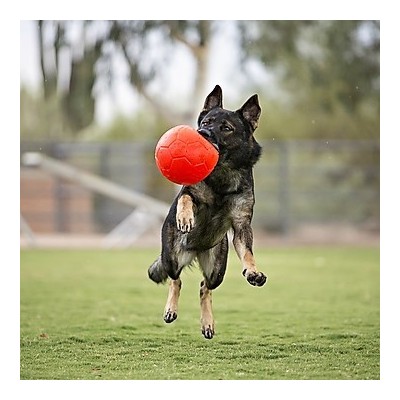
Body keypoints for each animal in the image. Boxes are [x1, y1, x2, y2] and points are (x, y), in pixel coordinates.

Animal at [148, 83, 268, 338]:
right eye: (206, 122)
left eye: (226, 128)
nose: (202, 133)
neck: (222, 175)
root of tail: (195, 250)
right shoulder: (189, 191)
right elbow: (185, 198)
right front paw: (185, 217)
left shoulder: (241, 226)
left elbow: (248, 253)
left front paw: (253, 272)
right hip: (171, 256)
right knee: (175, 280)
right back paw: (171, 309)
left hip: (217, 269)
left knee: (205, 287)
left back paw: (207, 323)